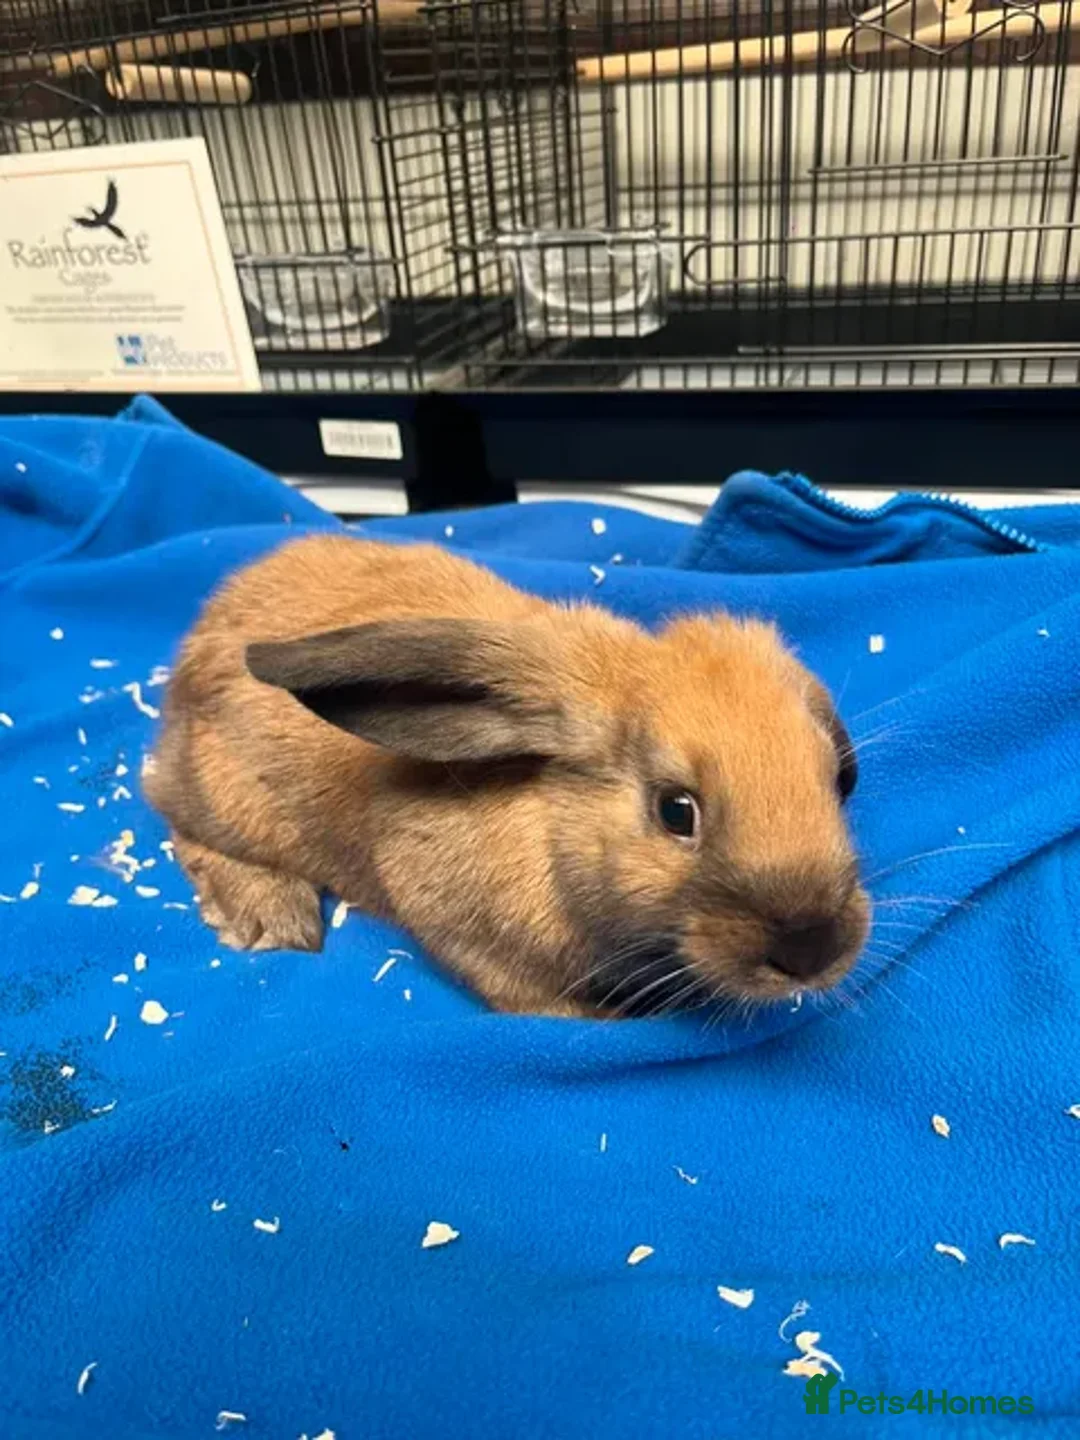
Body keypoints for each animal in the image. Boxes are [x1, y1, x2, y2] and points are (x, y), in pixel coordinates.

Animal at [144, 533, 869, 1018]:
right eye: (675, 810)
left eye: (839, 782)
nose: (811, 953)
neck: (550, 827)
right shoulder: (471, 938)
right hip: (223, 802)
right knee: (177, 817)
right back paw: (270, 919)